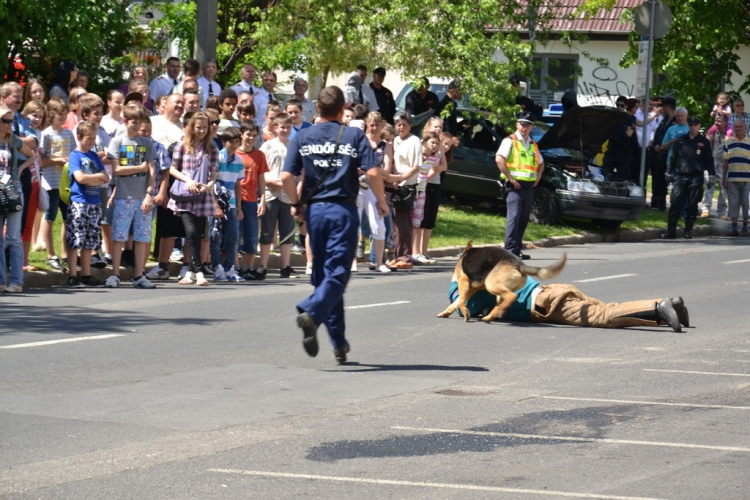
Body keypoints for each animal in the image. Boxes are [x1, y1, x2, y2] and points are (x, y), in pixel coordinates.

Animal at [438, 240, 568, 322]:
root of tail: (519, 264)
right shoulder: (470, 290)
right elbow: (456, 303)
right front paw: (446, 313)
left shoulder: (464, 282)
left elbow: (460, 301)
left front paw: (465, 312)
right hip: (499, 292)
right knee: (503, 302)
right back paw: (491, 316)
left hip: (491, 285)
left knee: (512, 296)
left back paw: (492, 315)